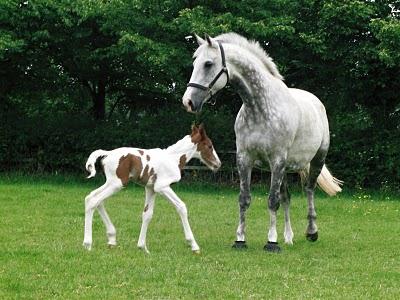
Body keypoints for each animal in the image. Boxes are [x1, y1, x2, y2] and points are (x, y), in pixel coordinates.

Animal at [83, 124, 222, 253]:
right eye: (209, 146)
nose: (218, 164)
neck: (173, 159)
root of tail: (107, 153)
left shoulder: (151, 188)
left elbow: (147, 214)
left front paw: (142, 247)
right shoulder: (162, 187)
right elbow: (181, 207)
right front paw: (194, 245)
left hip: (111, 183)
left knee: (92, 198)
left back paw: (111, 238)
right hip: (117, 184)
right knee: (94, 201)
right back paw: (87, 244)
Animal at [183, 32, 342, 252]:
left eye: (208, 64)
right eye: (194, 62)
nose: (188, 102)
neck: (260, 107)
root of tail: (316, 102)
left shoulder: (277, 160)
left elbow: (272, 201)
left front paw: (272, 241)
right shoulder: (244, 159)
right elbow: (244, 199)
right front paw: (240, 240)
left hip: (315, 159)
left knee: (309, 190)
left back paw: (311, 232)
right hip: (285, 168)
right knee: (287, 197)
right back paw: (289, 237)